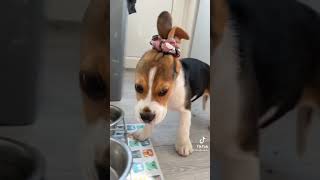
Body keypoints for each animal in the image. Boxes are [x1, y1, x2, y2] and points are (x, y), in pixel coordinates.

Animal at [132, 11, 210, 157]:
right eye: (138, 87)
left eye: (163, 91)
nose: (145, 117)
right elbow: (150, 121)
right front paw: (144, 134)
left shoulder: (185, 108)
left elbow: (184, 127)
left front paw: (183, 144)